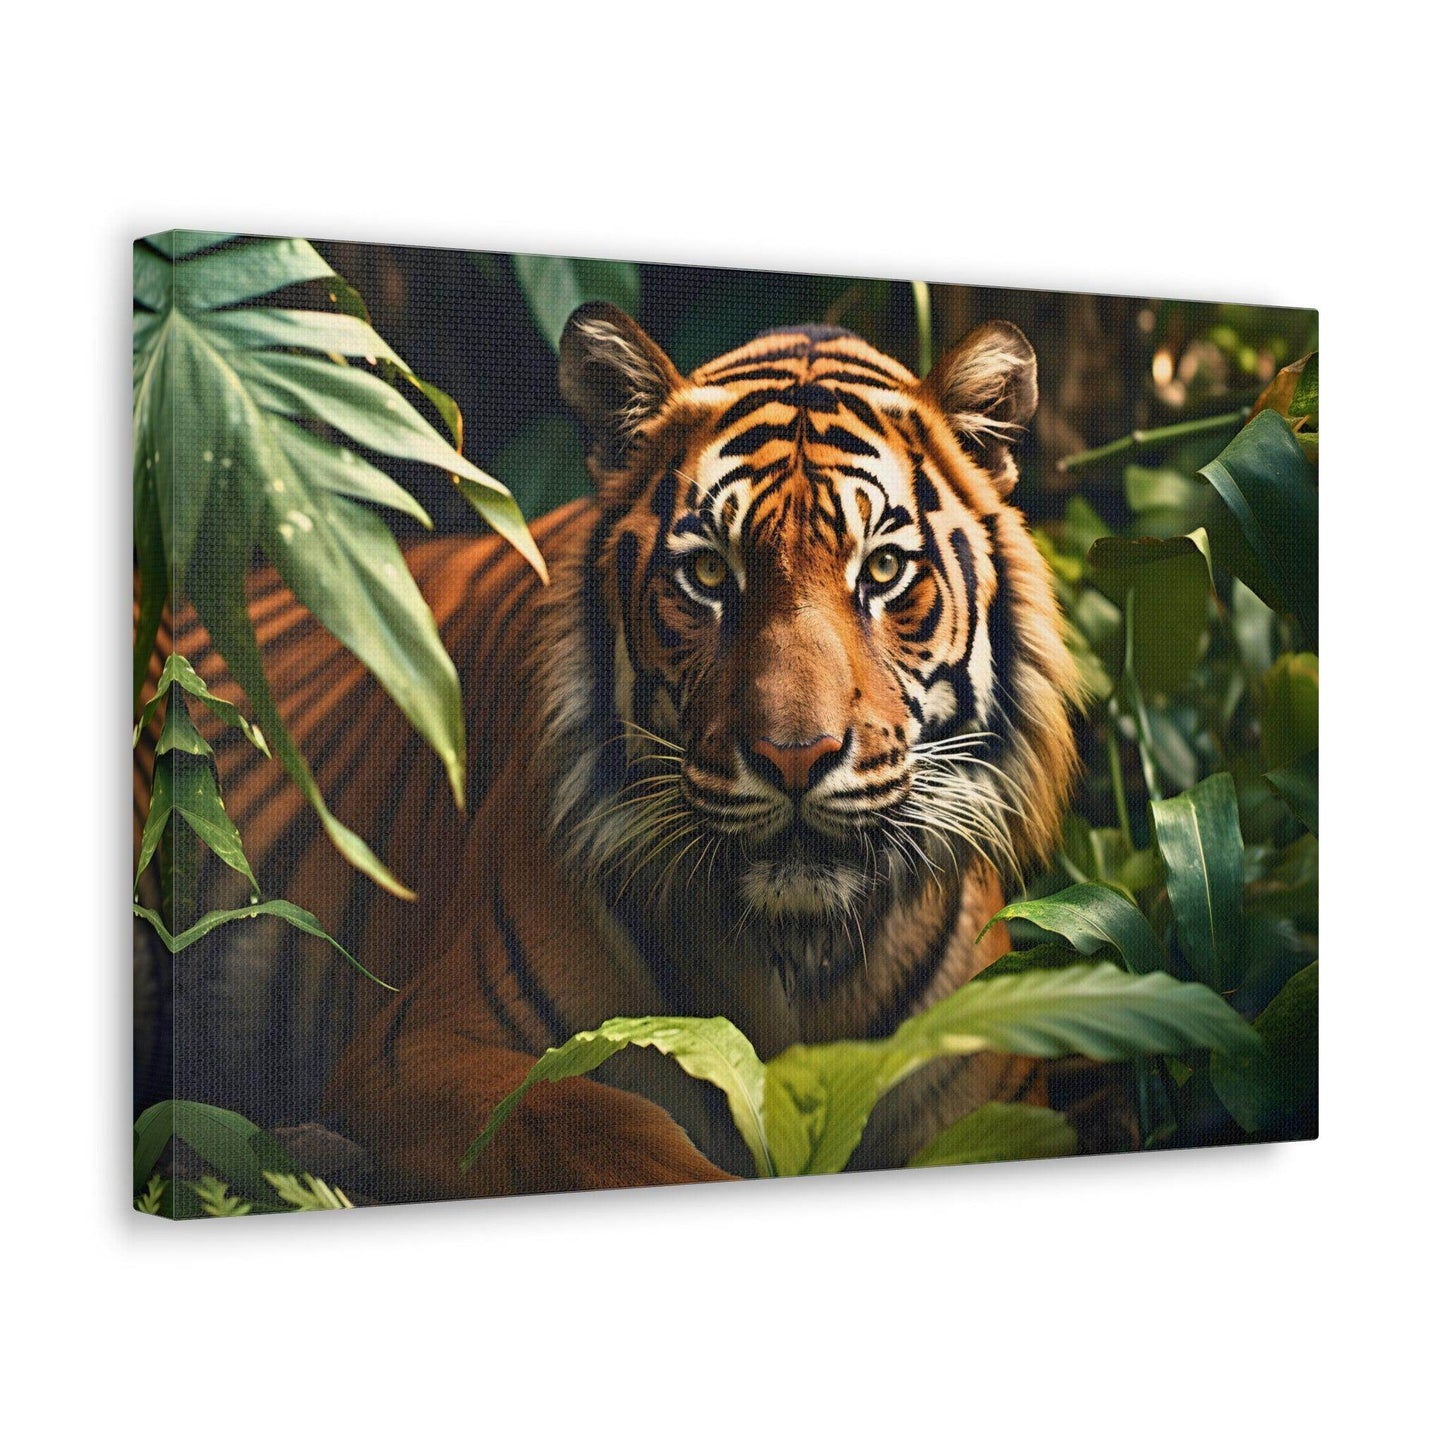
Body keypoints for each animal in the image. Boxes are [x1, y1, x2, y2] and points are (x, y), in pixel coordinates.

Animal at [145, 304, 1083, 1201]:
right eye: (708, 575)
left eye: (883, 570)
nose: (793, 756)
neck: (796, 955)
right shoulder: (414, 1045)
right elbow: (587, 1119)